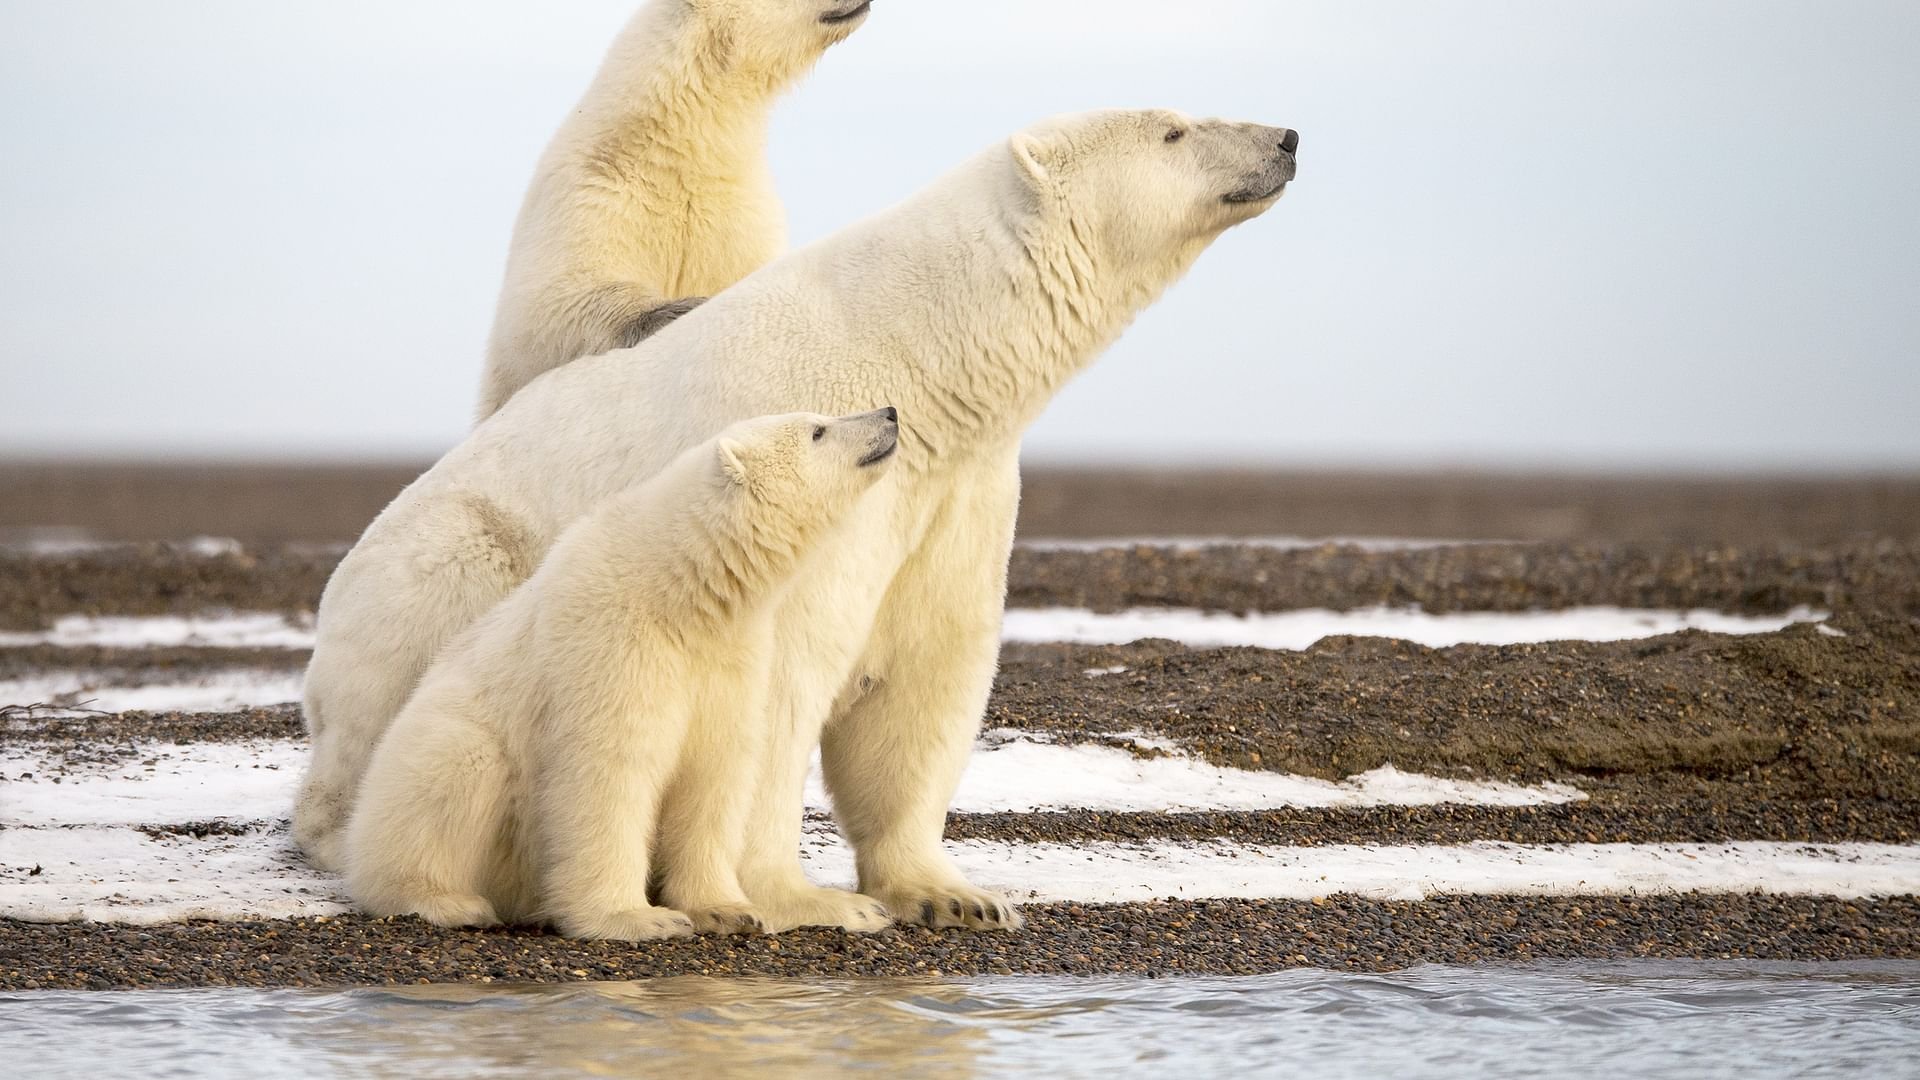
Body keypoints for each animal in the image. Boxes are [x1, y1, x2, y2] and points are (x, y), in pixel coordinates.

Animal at [343, 409, 900, 940]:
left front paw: (728, 910)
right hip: (440, 749)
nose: (890, 414)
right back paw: (447, 901)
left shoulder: (730, 662)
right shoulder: (613, 646)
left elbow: (713, 776)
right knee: (453, 779)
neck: (681, 589)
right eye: (818, 430)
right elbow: (610, 771)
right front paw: (639, 919)